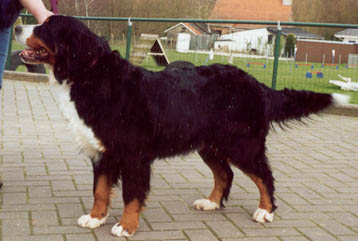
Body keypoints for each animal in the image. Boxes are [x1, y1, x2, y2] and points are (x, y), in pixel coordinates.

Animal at [15, 16, 348, 238]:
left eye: (44, 28)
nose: (18, 26)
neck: (89, 75)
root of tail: (254, 82)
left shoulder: (134, 156)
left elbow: (131, 195)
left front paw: (126, 225)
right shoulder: (102, 152)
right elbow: (100, 190)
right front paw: (96, 218)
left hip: (242, 145)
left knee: (264, 176)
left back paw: (265, 211)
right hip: (210, 145)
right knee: (225, 174)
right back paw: (210, 203)